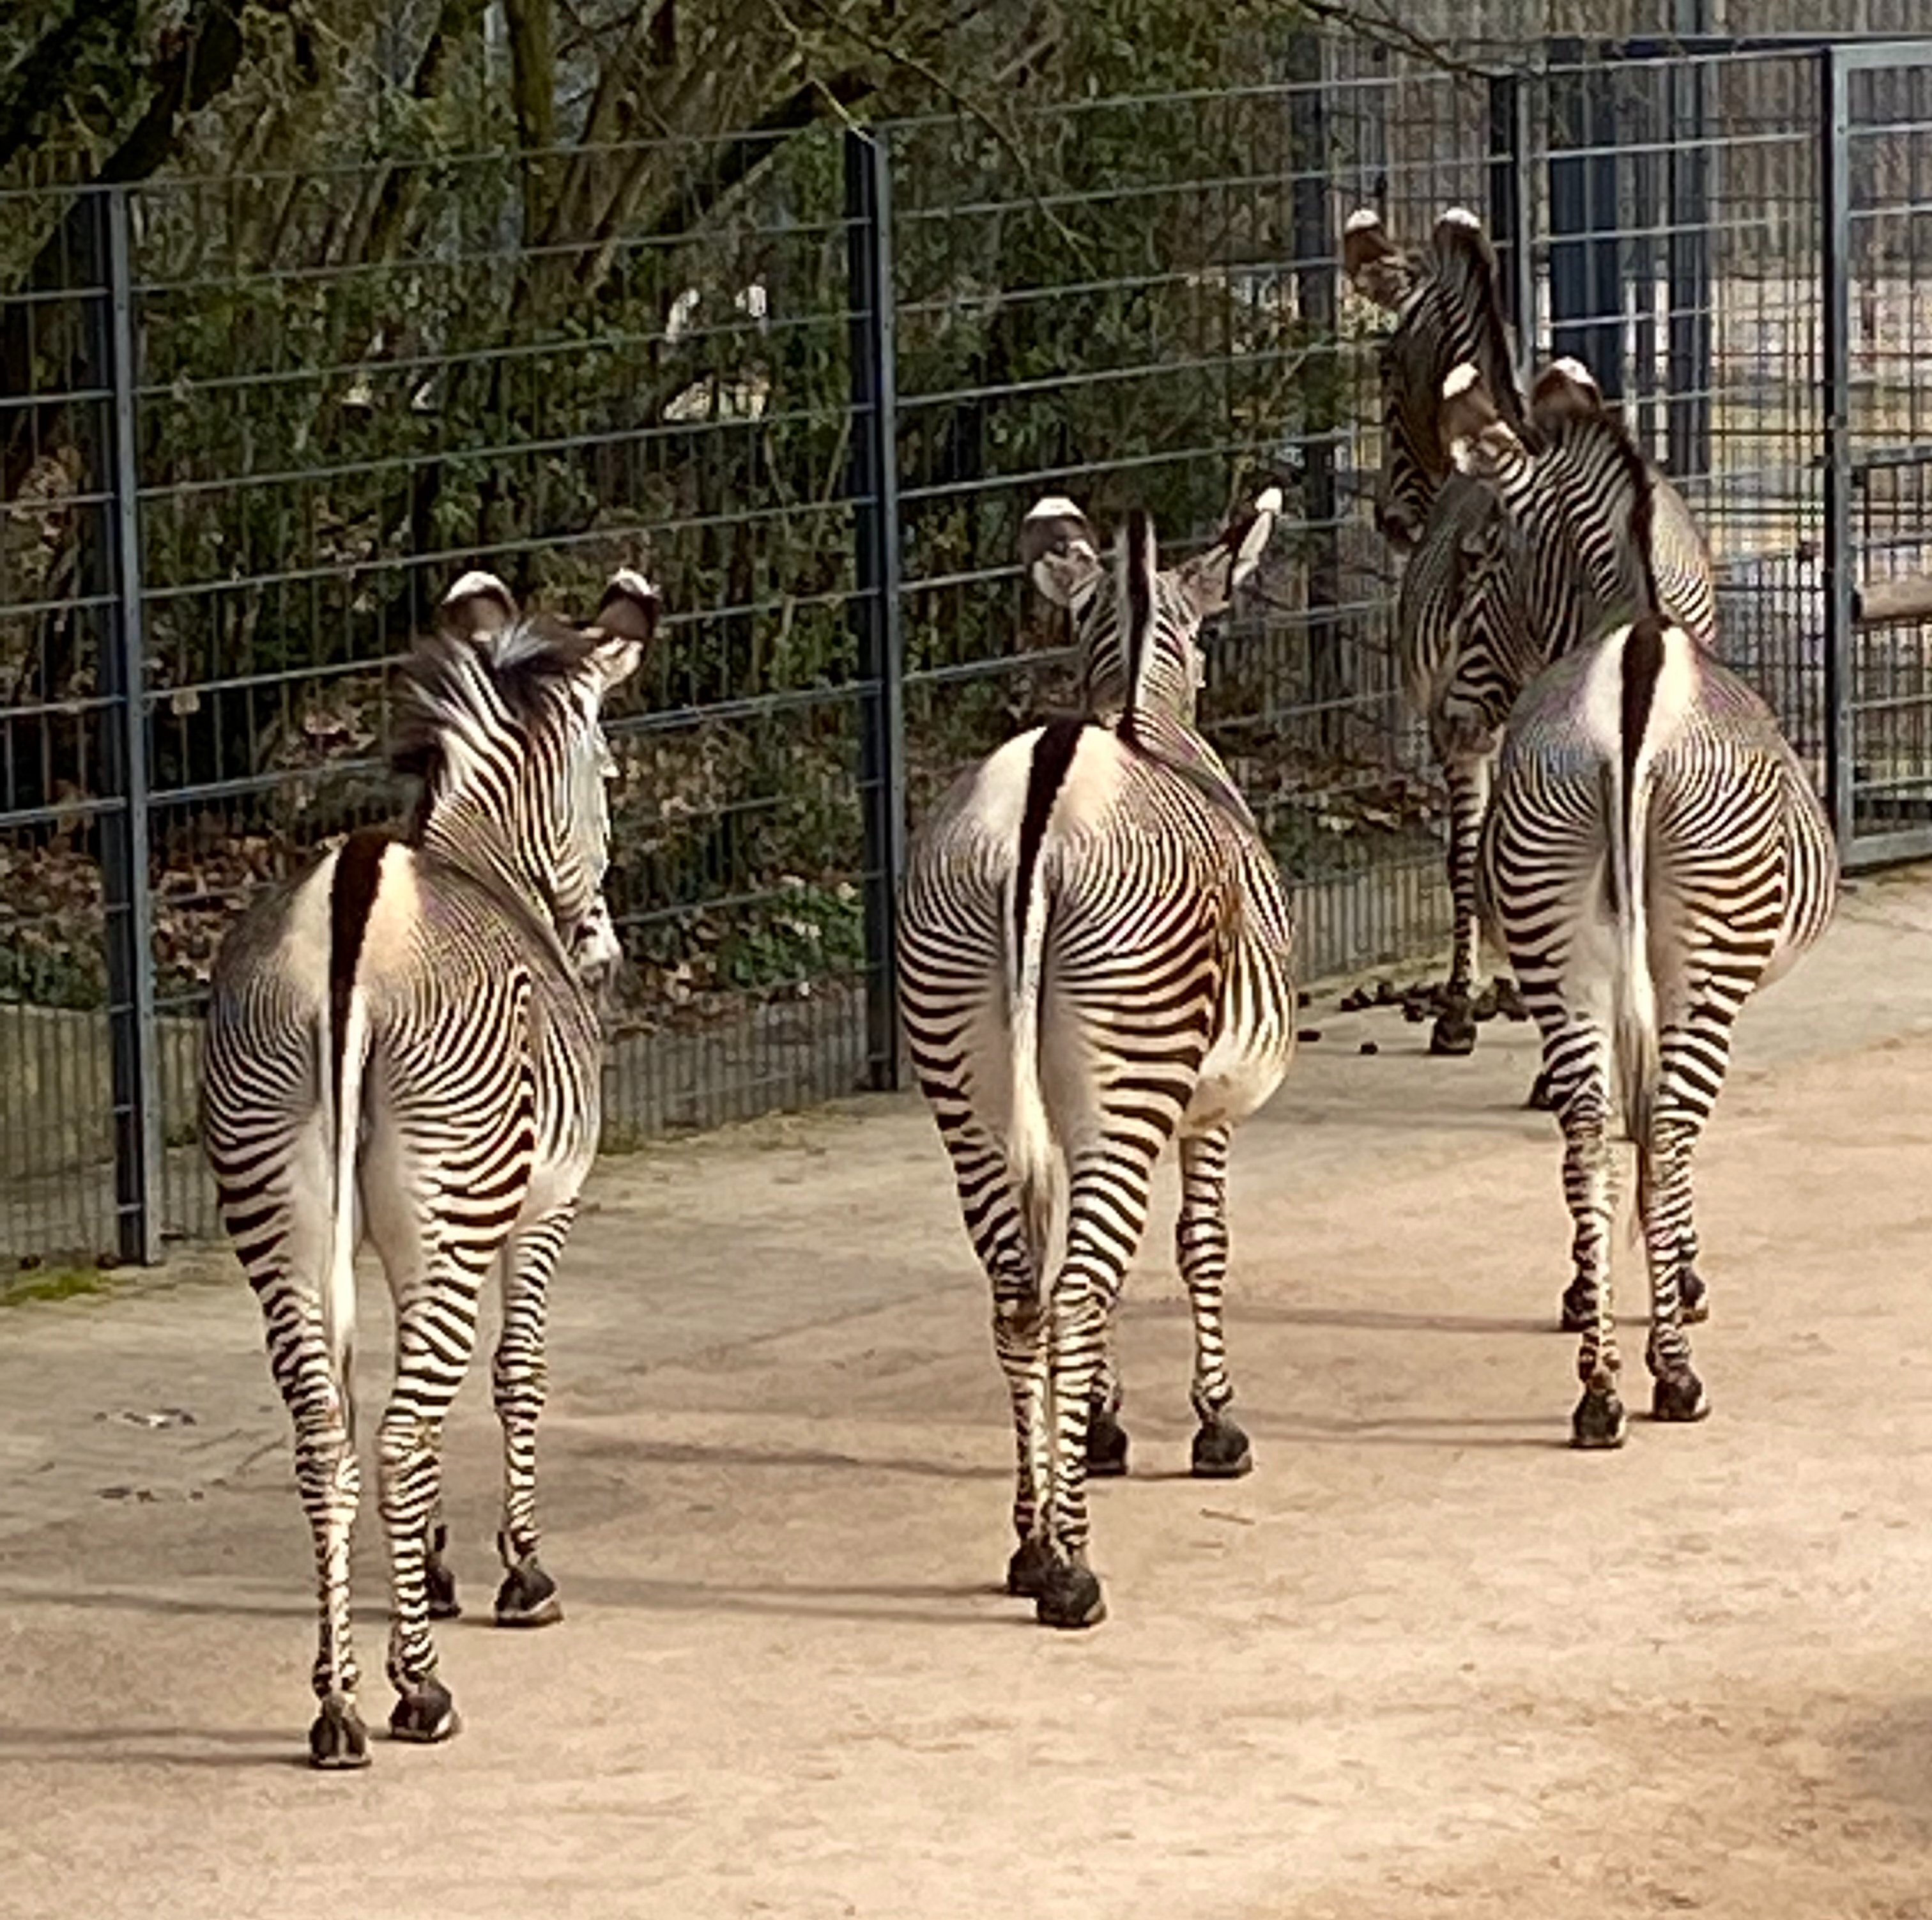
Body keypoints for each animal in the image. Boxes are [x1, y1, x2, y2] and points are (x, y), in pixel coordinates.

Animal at [204, 567, 653, 1769]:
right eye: (609, 776)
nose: (602, 956)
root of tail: (348, 918)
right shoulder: (540, 1210)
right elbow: (514, 1376)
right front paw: (518, 1571)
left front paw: (435, 1569)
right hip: (450, 1207)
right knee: (398, 1434)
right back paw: (417, 1690)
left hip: (278, 1209)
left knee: (326, 1436)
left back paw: (335, 1704)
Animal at [900, 486, 1298, 1622]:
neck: (1140, 717)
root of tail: (1044, 797)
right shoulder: (1204, 1106)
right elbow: (1201, 1247)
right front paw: (1213, 1423)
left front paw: (1098, 1428)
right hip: (1127, 1078)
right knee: (1072, 1289)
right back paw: (1072, 1569)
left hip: (968, 1088)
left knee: (1020, 1294)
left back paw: (1032, 1541)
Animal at [1460, 399, 1839, 1437]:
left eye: (1482, 555)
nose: (1451, 718)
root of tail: (1636, 678)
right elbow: (1669, 1136)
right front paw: (1685, 1277)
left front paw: (1588, 1290)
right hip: (1708, 956)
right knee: (1666, 1126)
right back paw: (1673, 1373)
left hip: (1557, 942)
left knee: (1592, 1125)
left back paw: (1598, 1387)